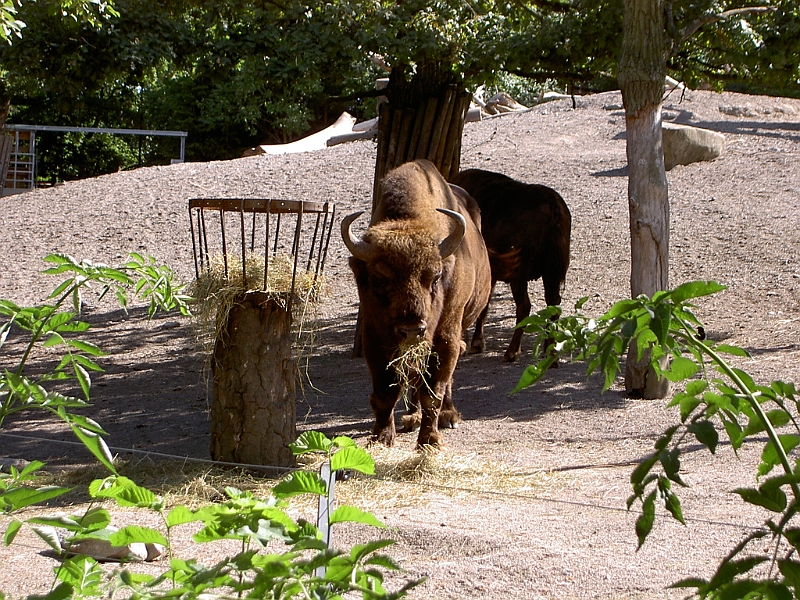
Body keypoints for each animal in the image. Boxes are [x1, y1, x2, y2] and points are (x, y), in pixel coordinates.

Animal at [342, 160, 491, 448]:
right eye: (379, 278)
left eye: (435, 277)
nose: (412, 329)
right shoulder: (375, 338)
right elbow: (385, 392)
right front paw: (381, 438)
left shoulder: (445, 338)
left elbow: (433, 391)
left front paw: (430, 441)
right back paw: (411, 417)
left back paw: (448, 416)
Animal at [450, 168, 571, 362]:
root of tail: (553, 208)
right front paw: (477, 343)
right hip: (550, 272)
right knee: (553, 303)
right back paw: (550, 353)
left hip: (520, 275)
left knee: (524, 307)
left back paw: (512, 352)